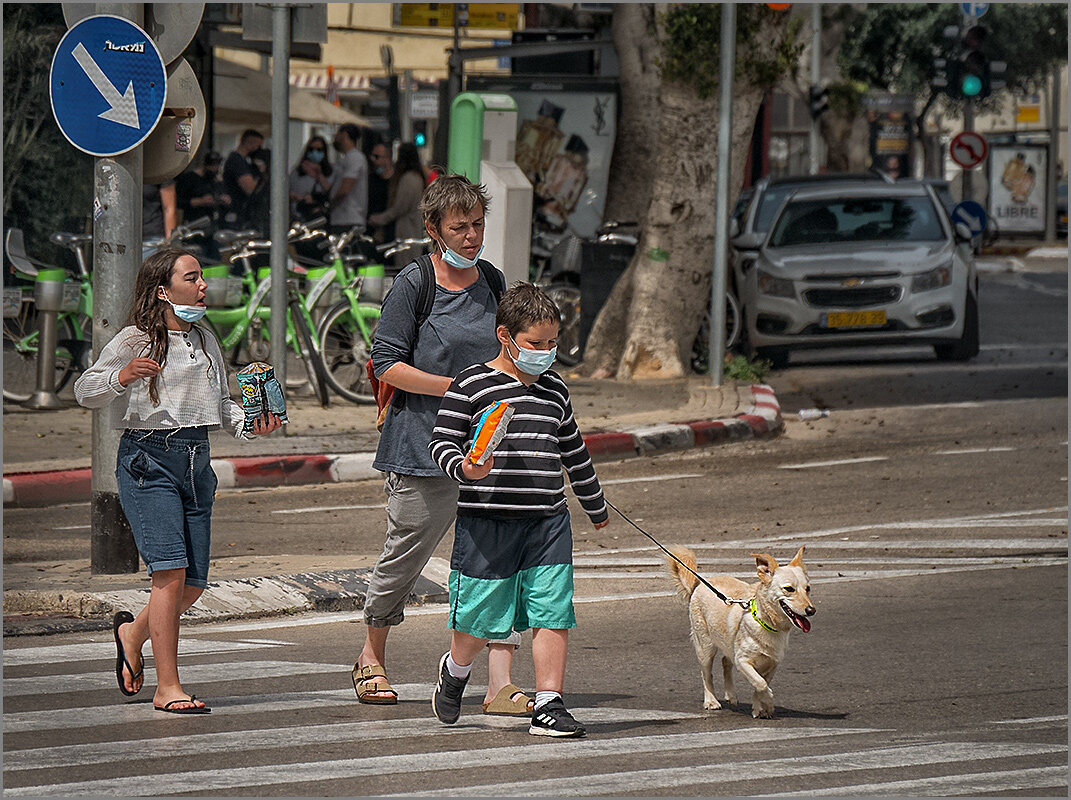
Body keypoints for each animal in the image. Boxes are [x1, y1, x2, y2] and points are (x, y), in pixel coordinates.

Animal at [664, 544, 813, 719]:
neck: (766, 622)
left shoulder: (773, 663)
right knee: (706, 674)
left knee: (725, 661)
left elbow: (760, 686)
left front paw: (759, 708)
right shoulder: (742, 661)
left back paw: (731, 695)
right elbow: (761, 684)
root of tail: (699, 584)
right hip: (705, 648)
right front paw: (769, 704)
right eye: (789, 589)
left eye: (808, 589)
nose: (811, 610)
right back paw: (711, 701)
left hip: (728, 643)